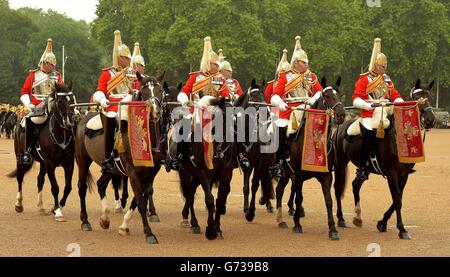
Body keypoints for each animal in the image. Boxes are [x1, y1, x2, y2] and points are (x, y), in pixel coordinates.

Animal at [7, 81, 76, 220]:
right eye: (60, 101)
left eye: (71, 99)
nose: (70, 122)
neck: (60, 134)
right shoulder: (50, 164)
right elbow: (55, 187)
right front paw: (57, 211)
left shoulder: (69, 163)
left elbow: (68, 187)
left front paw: (57, 207)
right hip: (21, 159)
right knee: (20, 177)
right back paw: (19, 204)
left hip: (43, 163)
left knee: (39, 180)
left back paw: (41, 206)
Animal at [75, 72, 171, 243]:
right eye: (143, 92)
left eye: (160, 91)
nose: (154, 112)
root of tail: (83, 119)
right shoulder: (133, 172)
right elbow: (140, 201)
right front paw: (149, 233)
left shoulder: (150, 172)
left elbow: (140, 198)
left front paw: (124, 226)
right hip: (83, 161)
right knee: (82, 187)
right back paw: (85, 221)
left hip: (111, 169)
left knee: (101, 184)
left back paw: (105, 218)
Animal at [280, 76, 346, 238]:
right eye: (327, 96)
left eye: (340, 94)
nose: (341, 115)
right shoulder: (298, 175)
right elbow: (299, 198)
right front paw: (297, 224)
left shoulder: (326, 175)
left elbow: (328, 200)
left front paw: (332, 229)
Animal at [334, 78, 436, 239]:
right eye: (416, 98)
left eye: (430, 97)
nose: (430, 120)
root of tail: (341, 126)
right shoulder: (392, 173)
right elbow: (397, 199)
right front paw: (402, 229)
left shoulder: (404, 174)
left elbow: (398, 198)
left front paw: (382, 223)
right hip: (340, 163)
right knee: (338, 188)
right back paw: (340, 218)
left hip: (364, 169)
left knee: (356, 185)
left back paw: (357, 217)